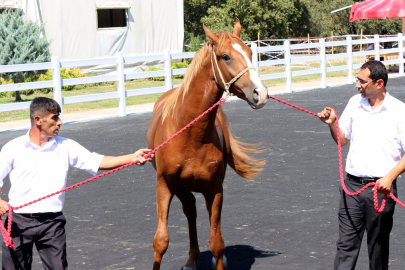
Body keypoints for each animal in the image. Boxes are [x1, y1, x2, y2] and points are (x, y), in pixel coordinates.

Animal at [146, 21, 268, 270]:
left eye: (250, 53)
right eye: (225, 56)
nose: (260, 93)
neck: (190, 134)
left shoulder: (215, 189)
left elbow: (217, 243)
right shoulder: (164, 185)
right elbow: (160, 241)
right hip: (180, 188)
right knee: (190, 211)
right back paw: (191, 260)